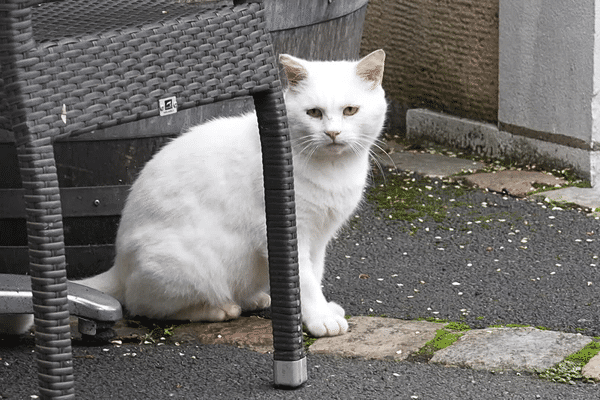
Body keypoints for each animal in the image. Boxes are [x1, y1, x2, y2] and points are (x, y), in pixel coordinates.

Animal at [4, 50, 386, 338]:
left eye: (350, 110)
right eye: (314, 113)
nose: (333, 133)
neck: (331, 171)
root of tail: (119, 264)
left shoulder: (319, 239)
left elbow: (314, 274)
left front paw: (315, 311)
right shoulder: (286, 232)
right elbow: (304, 280)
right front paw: (318, 319)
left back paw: (255, 298)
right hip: (189, 264)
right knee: (143, 305)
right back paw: (219, 309)